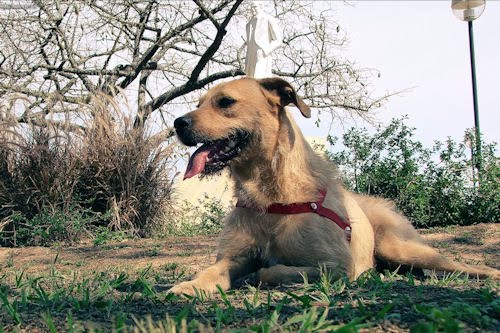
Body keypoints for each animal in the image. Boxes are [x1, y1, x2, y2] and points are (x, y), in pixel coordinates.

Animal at [170, 77, 498, 294]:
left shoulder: (336, 266)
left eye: (225, 102)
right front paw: (190, 285)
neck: (269, 195)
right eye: (198, 104)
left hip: (402, 247)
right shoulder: (232, 257)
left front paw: (256, 276)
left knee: (465, 267)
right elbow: (212, 270)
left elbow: (273, 271)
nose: (177, 123)